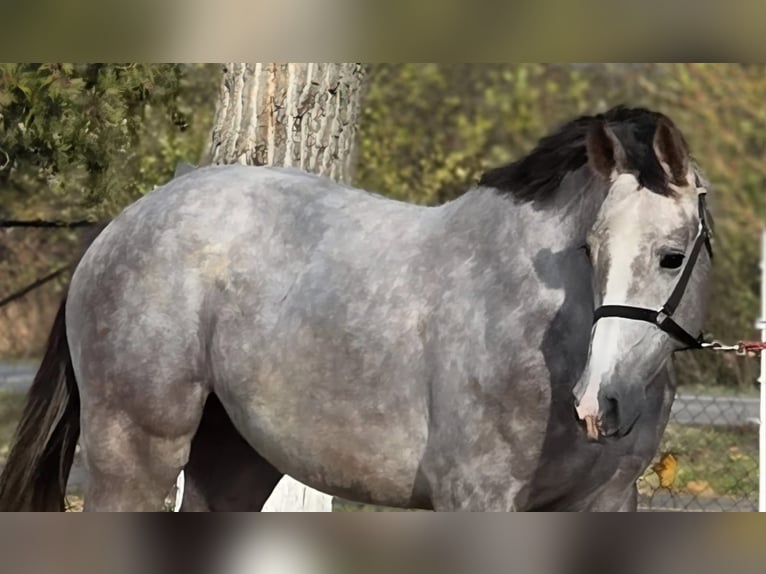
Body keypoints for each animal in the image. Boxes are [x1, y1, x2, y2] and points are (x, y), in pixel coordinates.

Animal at [0, 105, 712, 511]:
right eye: (591, 248)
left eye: (673, 256)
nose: (600, 404)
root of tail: (124, 225)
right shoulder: (477, 497)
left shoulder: (605, 502)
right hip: (135, 454)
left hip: (233, 460)